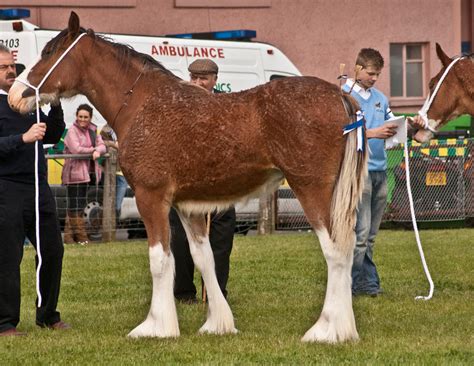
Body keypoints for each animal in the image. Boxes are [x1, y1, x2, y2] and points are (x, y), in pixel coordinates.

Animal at [10, 12, 366, 344]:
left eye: (50, 52)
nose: (15, 94)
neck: (141, 104)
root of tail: (339, 96)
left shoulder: (151, 197)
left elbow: (159, 259)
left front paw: (157, 326)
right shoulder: (187, 207)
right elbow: (203, 259)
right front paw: (217, 323)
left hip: (312, 189)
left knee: (335, 252)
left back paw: (328, 330)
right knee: (346, 251)